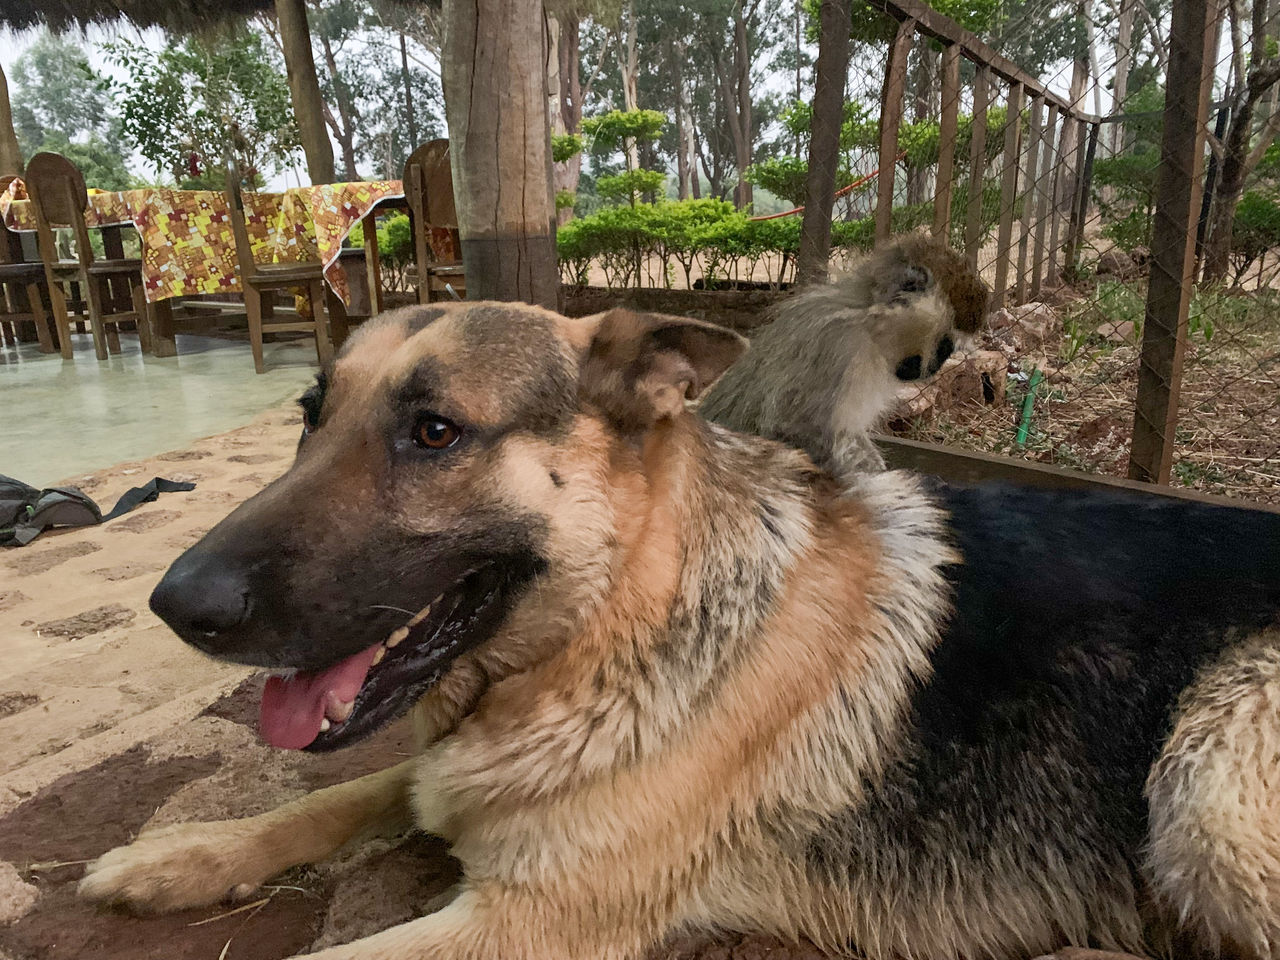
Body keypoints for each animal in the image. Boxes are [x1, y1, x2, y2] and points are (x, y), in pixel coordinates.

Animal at [80, 302, 1280, 960]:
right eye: (308, 419)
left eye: (434, 433)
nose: (177, 605)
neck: (613, 622)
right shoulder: (448, 781)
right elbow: (331, 799)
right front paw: (180, 856)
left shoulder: (522, 924)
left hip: (1207, 782)